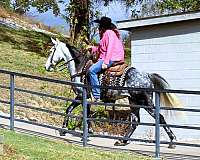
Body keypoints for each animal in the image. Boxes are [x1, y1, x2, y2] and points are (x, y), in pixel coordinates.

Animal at [45, 38, 183, 148]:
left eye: (51, 51)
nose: (46, 67)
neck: (81, 68)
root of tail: (147, 76)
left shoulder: (82, 96)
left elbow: (83, 113)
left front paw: (86, 131)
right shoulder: (81, 97)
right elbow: (70, 109)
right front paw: (64, 128)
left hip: (146, 102)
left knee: (160, 117)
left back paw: (172, 141)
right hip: (134, 102)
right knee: (135, 120)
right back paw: (122, 141)